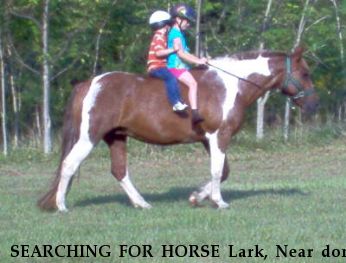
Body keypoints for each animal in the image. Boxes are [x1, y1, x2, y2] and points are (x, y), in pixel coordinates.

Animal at [38, 47, 318, 212]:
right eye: (305, 73)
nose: (313, 104)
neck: (230, 86)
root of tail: (89, 83)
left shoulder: (208, 139)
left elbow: (223, 172)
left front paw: (197, 197)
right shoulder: (219, 136)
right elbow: (217, 171)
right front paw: (219, 201)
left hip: (116, 137)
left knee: (119, 171)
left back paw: (141, 203)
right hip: (89, 137)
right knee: (69, 164)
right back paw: (61, 206)